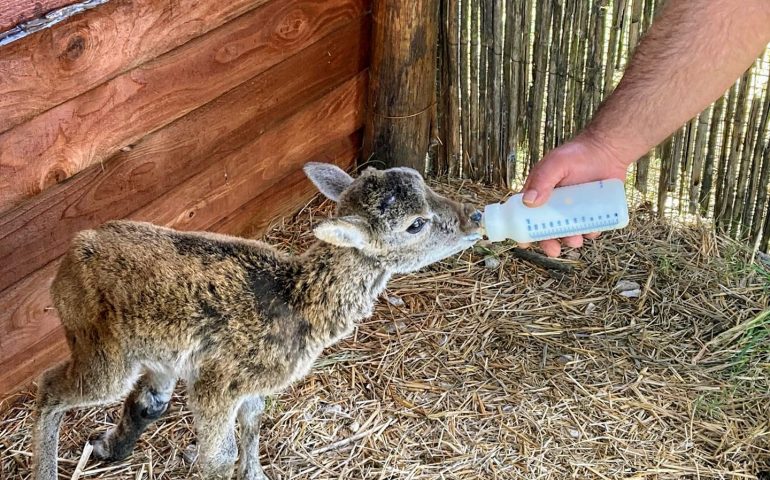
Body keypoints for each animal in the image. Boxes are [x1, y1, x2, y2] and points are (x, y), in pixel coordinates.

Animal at [34, 163, 480, 478]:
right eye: (415, 224)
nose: (473, 217)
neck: (299, 301)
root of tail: (71, 256)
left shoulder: (249, 384)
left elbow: (253, 426)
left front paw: (256, 475)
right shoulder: (217, 383)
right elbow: (219, 458)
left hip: (159, 356)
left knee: (149, 401)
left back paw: (108, 450)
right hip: (101, 347)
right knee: (52, 386)